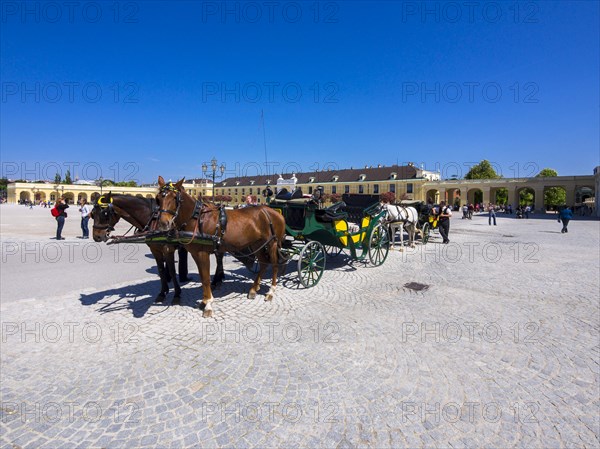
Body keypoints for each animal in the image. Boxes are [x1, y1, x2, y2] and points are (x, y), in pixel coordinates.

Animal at [155, 174, 286, 316]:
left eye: (175, 198)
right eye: (158, 199)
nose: (163, 224)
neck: (198, 219)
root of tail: (273, 212)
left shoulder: (203, 253)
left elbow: (206, 278)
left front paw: (208, 304)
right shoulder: (195, 254)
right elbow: (202, 276)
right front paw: (204, 301)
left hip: (272, 243)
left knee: (274, 264)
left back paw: (271, 291)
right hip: (257, 244)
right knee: (263, 263)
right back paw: (254, 289)